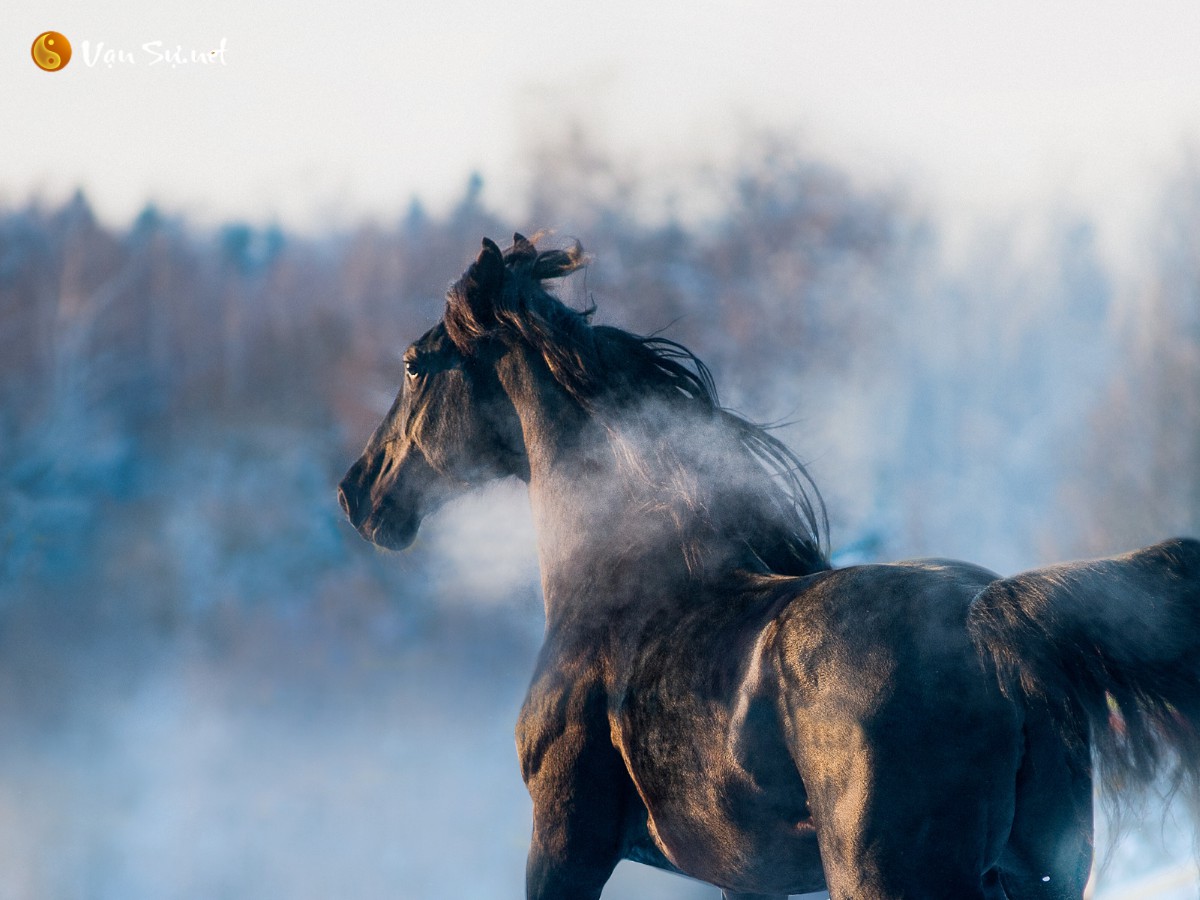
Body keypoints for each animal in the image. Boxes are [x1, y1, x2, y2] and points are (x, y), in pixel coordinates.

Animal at [336, 236, 1200, 897]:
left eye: (414, 365)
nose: (358, 493)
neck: (618, 587)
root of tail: (989, 626)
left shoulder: (564, 839)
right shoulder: (745, 876)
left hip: (889, 877)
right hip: (1039, 876)